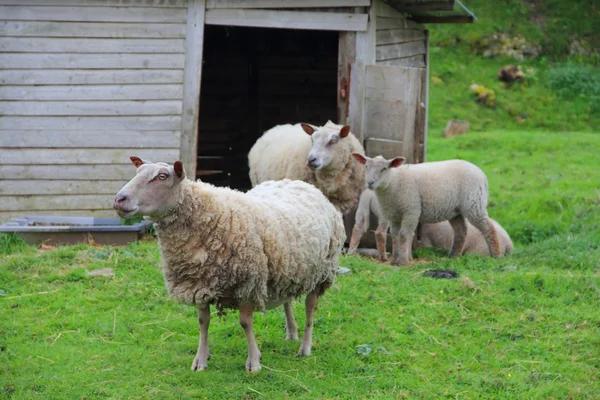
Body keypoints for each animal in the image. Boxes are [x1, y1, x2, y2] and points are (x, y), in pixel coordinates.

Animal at [113, 155, 346, 372]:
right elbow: (203, 322)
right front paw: (201, 359)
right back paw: (291, 333)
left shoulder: (248, 283)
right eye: (138, 171)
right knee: (287, 300)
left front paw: (254, 362)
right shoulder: (200, 283)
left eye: (162, 176)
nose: (119, 199)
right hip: (287, 267)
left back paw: (305, 347)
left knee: (310, 308)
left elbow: (245, 323)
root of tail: (299, 183)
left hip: (321, 272)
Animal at [352, 154, 502, 266]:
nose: (370, 183)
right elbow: (394, 236)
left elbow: (404, 235)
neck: (394, 182)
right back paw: (453, 256)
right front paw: (394, 260)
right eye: (366, 166)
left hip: (474, 204)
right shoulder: (394, 214)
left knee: (488, 228)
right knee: (461, 231)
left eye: (384, 168)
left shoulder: (411, 210)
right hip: (455, 210)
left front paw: (403, 262)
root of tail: (481, 173)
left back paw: (496, 255)